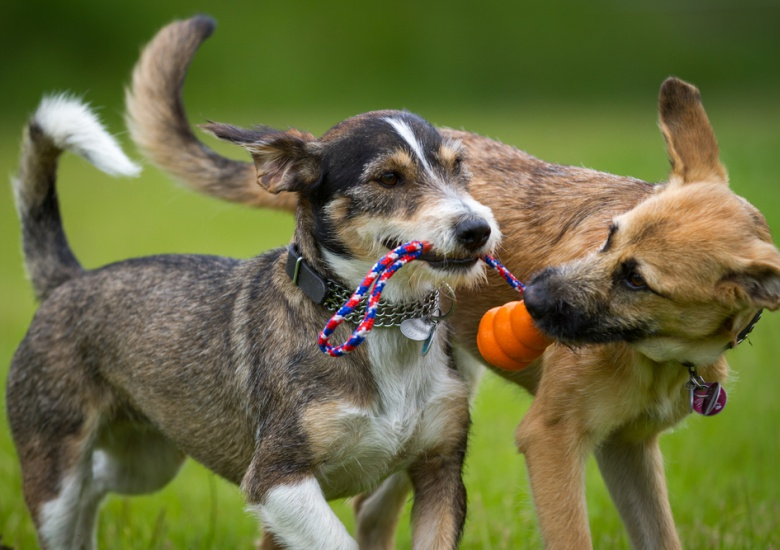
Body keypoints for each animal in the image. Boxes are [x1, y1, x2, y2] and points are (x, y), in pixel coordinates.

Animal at [123, 15, 780, 548]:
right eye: (608, 235)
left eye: (638, 280)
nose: (531, 296)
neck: (662, 354)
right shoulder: (551, 438)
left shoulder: (629, 449)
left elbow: (660, 536)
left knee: (366, 512)